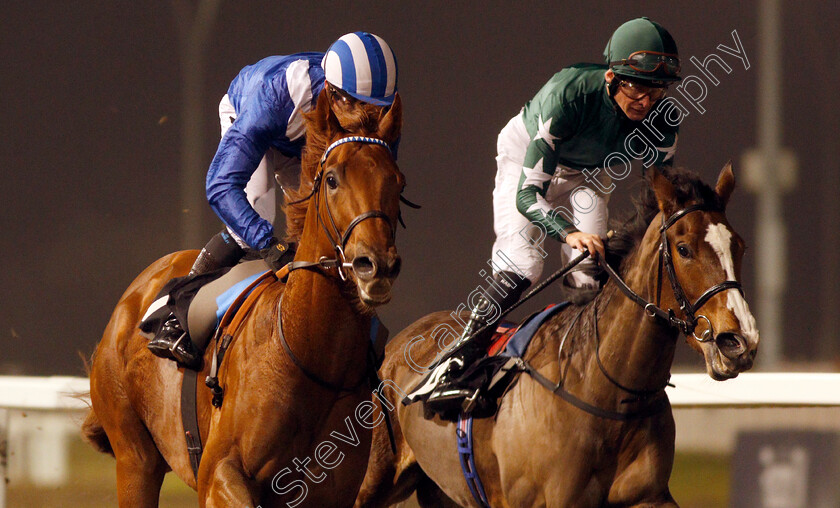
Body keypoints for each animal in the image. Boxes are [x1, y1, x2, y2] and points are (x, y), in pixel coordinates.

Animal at [83, 91, 406, 508]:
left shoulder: (332, 491)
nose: (376, 265)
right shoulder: (219, 472)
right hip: (135, 459)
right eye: (332, 179)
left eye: (397, 183)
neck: (308, 353)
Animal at [354, 165, 760, 506]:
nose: (739, 341)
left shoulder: (649, 495)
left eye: (738, 246)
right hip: (371, 480)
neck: (608, 392)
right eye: (684, 248)